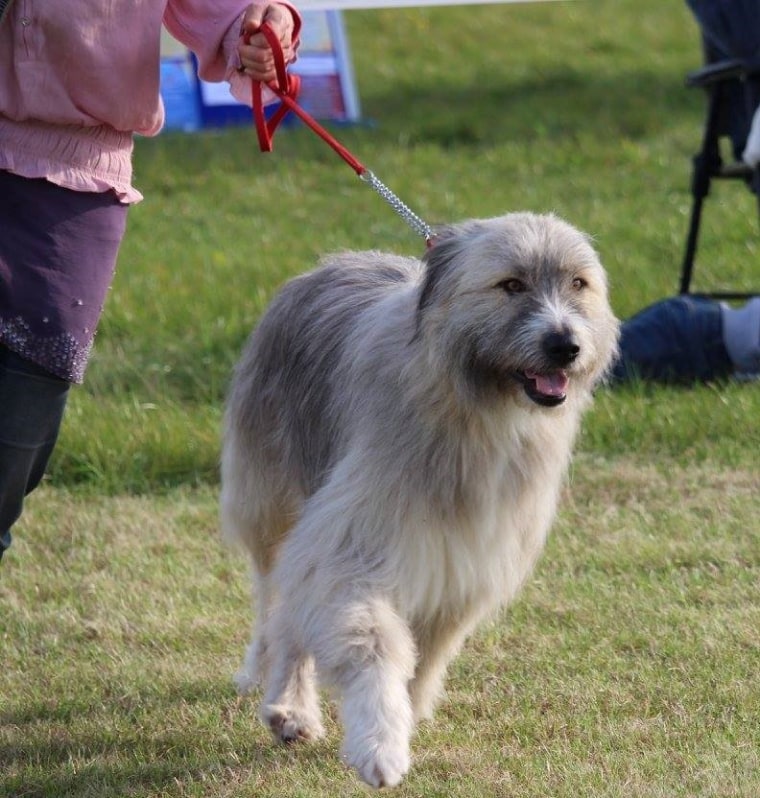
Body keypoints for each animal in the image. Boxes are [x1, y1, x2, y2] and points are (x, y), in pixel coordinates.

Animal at [218, 211, 616, 788]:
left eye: (578, 284)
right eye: (511, 285)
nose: (565, 345)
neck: (474, 407)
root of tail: (326, 265)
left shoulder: (468, 558)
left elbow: (428, 651)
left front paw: (405, 712)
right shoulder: (351, 537)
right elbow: (374, 641)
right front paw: (380, 740)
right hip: (275, 498)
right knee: (280, 607)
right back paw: (288, 703)